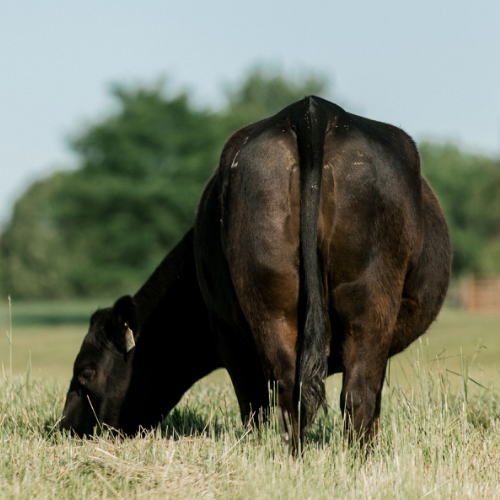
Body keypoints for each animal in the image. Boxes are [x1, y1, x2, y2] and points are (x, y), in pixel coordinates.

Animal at [194, 96, 451, 452]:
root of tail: (312, 111)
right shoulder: (224, 330)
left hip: (269, 291)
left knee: (289, 388)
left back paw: (295, 458)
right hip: (372, 293)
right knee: (358, 392)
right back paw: (359, 458)